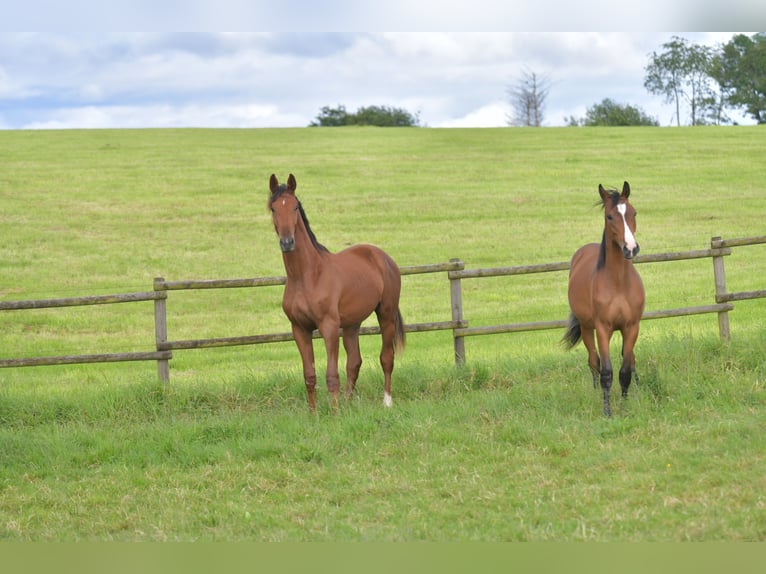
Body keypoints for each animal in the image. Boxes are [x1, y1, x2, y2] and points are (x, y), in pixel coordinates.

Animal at [268, 174, 404, 414]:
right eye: (274, 208)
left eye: (295, 207)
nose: (287, 242)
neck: (308, 276)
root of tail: (383, 257)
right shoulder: (299, 329)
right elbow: (309, 375)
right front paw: (313, 414)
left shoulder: (329, 327)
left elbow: (331, 375)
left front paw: (335, 413)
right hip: (352, 324)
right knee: (354, 362)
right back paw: (349, 403)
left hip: (386, 315)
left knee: (386, 358)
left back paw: (386, 402)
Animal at [564, 182, 648, 416]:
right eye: (610, 216)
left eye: (633, 213)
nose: (631, 248)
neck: (618, 284)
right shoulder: (603, 329)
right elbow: (607, 372)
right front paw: (607, 411)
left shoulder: (632, 327)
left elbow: (625, 370)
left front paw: (625, 404)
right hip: (586, 328)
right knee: (594, 362)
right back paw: (595, 393)